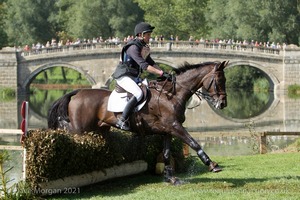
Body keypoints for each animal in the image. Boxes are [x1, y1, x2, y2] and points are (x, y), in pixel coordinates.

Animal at [48, 60, 229, 184]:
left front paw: (170, 178)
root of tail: (76, 93)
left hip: (99, 130)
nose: (223, 104)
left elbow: (166, 153)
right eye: (219, 80)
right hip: (79, 131)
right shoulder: (175, 126)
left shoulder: (167, 130)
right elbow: (194, 143)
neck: (171, 95)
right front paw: (212, 165)